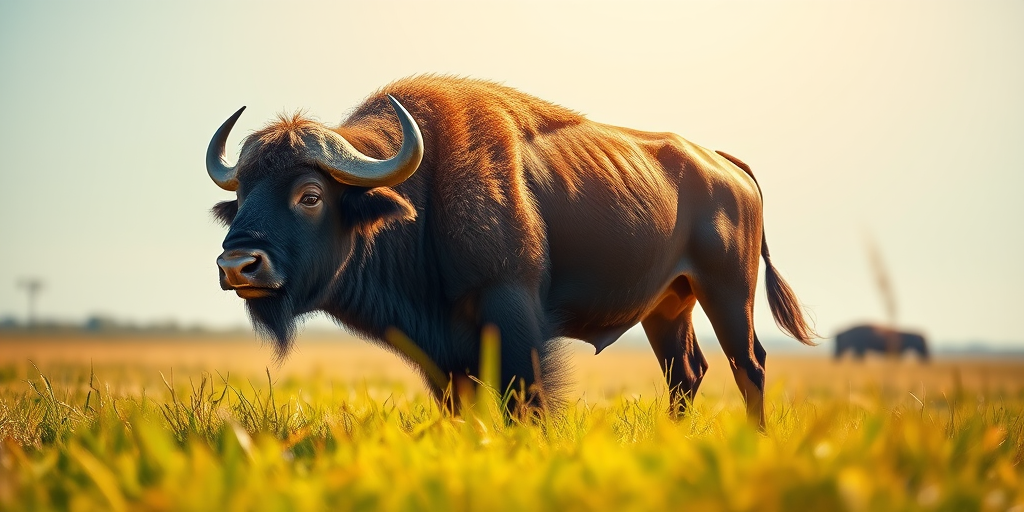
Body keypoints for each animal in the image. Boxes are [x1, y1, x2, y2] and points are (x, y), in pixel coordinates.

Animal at [205, 76, 815, 427]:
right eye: (242, 194)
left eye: (310, 195)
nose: (238, 265)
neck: (418, 193)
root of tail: (724, 165)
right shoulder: (443, 353)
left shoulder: (512, 316)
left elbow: (528, 403)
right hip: (669, 307)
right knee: (686, 373)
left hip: (727, 293)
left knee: (749, 365)